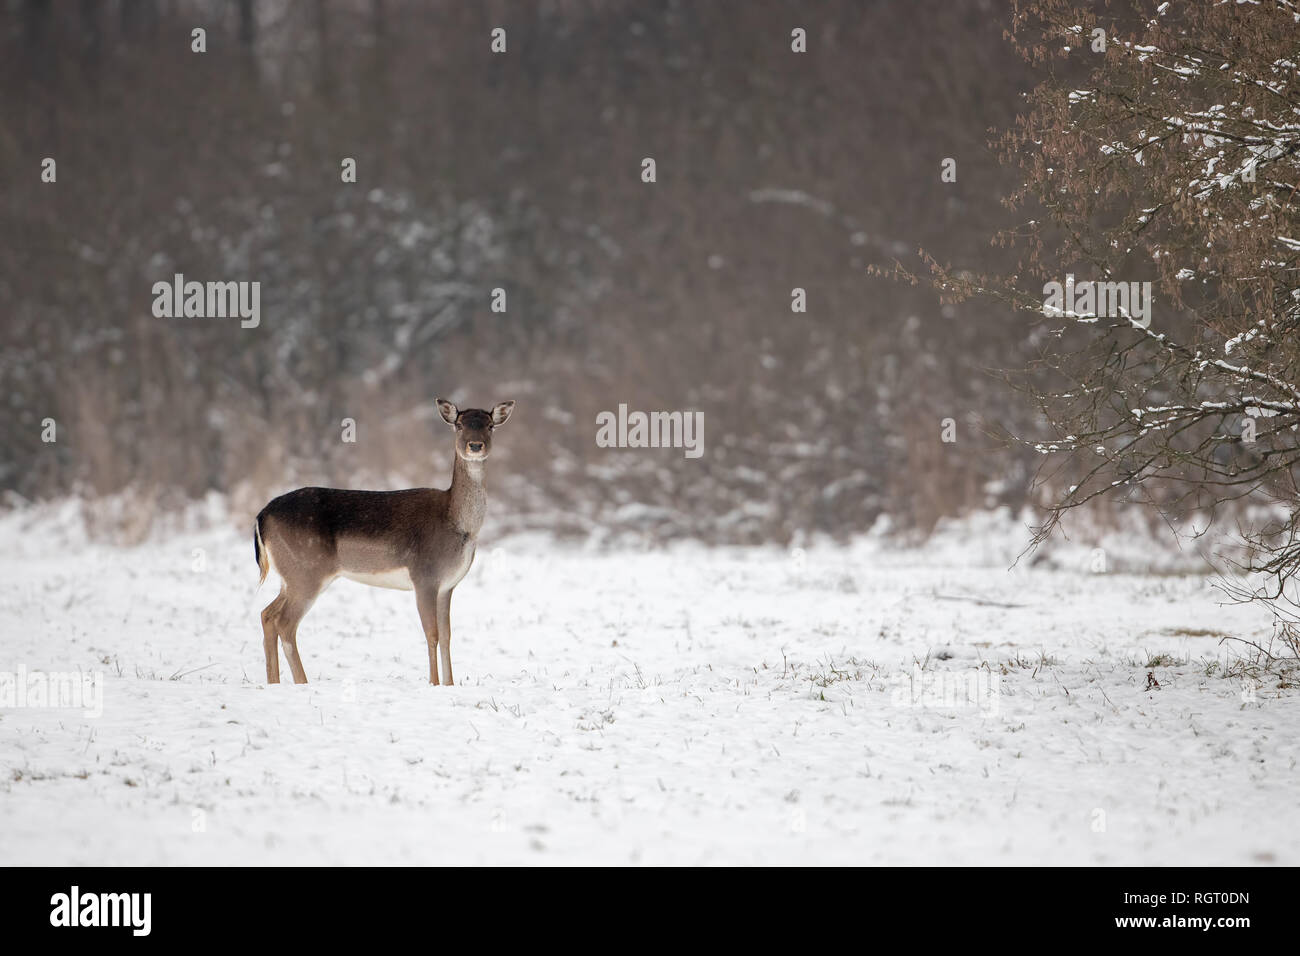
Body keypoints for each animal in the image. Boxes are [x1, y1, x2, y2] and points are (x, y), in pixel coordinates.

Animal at [250, 400, 514, 686]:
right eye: (459, 425)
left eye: (490, 425)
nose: (475, 446)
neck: (458, 525)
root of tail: (262, 515)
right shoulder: (424, 577)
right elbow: (431, 634)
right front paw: (433, 683)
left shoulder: (447, 585)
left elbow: (447, 636)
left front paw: (450, 684)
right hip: (306, 571)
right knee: (285, 623)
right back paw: (302, 682)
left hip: (291, 575)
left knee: (267, 614)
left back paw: (274, 682)